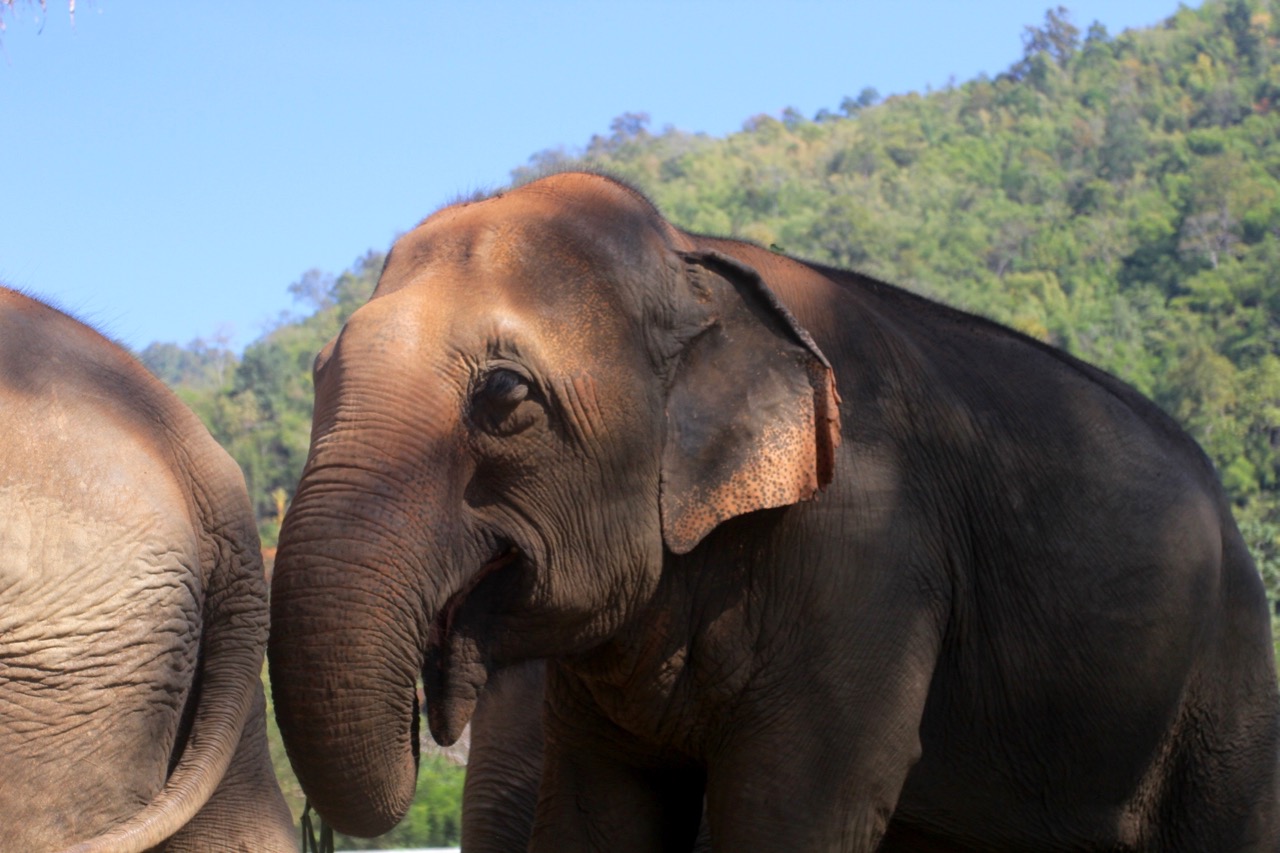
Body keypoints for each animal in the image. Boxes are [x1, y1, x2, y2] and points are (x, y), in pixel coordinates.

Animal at [270, 169, 1280, 845]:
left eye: (505, 395)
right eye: (318, 374)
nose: (428, 709)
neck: (692, 257)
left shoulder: (868, 551)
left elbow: (794, 802)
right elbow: (598, 806)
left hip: (1225, 685)